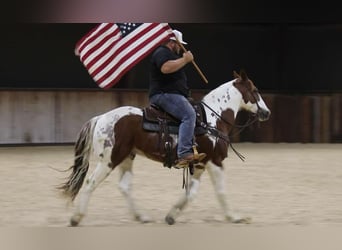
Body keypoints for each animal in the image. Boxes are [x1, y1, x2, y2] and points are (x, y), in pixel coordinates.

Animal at [57, 69, 272, 226]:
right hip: (109, 160)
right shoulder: (215, 161)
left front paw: (171, 216)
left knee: (124, 187)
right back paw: (76, 218)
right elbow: (221, 191)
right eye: (255, 90)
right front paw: (235, 217)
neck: (213, 118)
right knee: (90, 183)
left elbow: (191, 193)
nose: (267, 112)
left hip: (127, 157)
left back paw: (141, 217)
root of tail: (101, 118)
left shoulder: (200, 163)